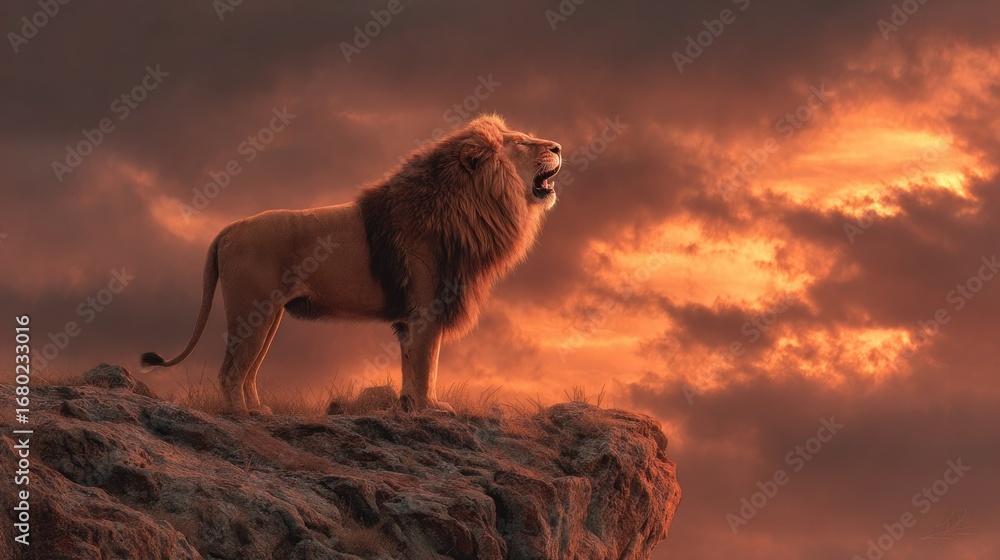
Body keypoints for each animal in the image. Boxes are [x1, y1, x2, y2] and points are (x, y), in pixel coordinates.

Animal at [141, 114, 562, 416]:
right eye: (523, 142)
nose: (558, 146)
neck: (470, 203)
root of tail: (227, 229)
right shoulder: (427, 308)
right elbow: (427, 363)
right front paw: (431, 409)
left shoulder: (412, 316)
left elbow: (411, 365)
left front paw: (410, 407)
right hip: (252, 309)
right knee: (231, 370)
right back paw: (240, 416)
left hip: (270, 316)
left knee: (248, 369)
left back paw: (259, 410)